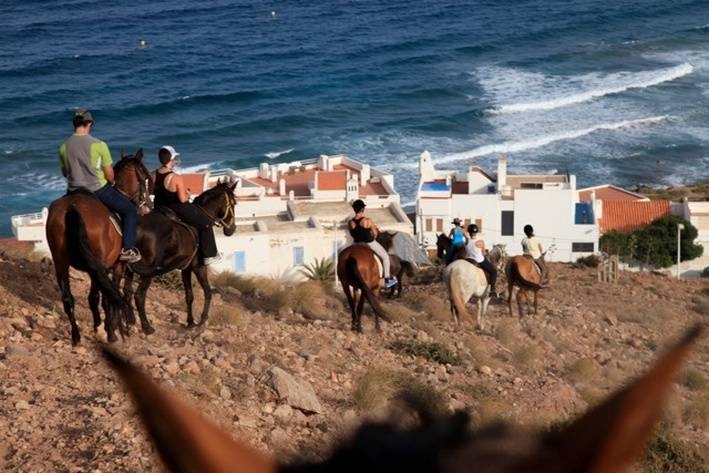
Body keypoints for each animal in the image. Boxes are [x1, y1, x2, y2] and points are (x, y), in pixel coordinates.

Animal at [45, 149, 151, 344]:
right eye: (146, 178)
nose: (149, 205)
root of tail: (72, 207)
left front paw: (108, 326)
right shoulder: (117, 265)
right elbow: (110, 294)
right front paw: (113, 329)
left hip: (60, 261)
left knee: (68, 299)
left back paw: (77, 337)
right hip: (97, 264)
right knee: (97, 296)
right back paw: (104, 331)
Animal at [124, 178, 238, 332]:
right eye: (234, 203)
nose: (232, 229)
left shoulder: (186, 269)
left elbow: (189, 295)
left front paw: (190, 322)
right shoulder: (199, 267)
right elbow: (208, 291)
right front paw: (202, 320)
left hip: (130, 267)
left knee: (127, 292)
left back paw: (130, 322)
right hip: (147, 270)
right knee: (139, 296)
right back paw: (147, 327)